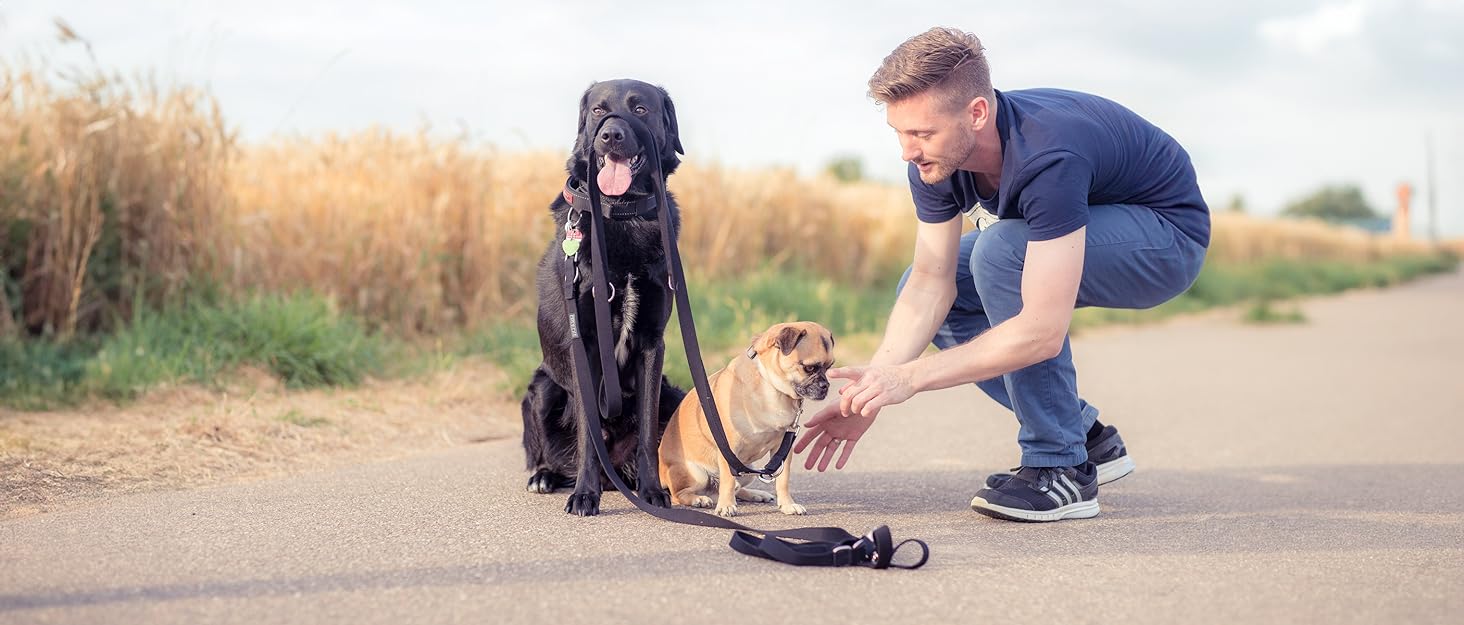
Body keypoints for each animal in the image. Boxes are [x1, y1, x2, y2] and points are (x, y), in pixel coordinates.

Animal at [524, 79, 688, 518]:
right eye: (598, 110)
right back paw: (546, 476)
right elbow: (588, 437)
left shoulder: (652, 344)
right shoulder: (584, 346)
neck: (621, 211)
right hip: (542, 389)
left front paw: (653, 492)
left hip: (674, 393)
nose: (610, 135)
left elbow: (648, 434)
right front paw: (585, 494)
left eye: (640, 109)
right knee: (548, 451)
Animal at [655, 320, 831, 515]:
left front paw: (787, 504)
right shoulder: (729, 450)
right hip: (697, 474)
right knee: (679, 494)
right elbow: (728, 481)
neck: (772, 388)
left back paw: (754, 494)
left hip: (749, 470)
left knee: (734, 488)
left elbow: (783, 480)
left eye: (829, 367)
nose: (826, 385)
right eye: (809, 368)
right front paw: (726, 506)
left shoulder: (782, 450)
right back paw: (698, 499)